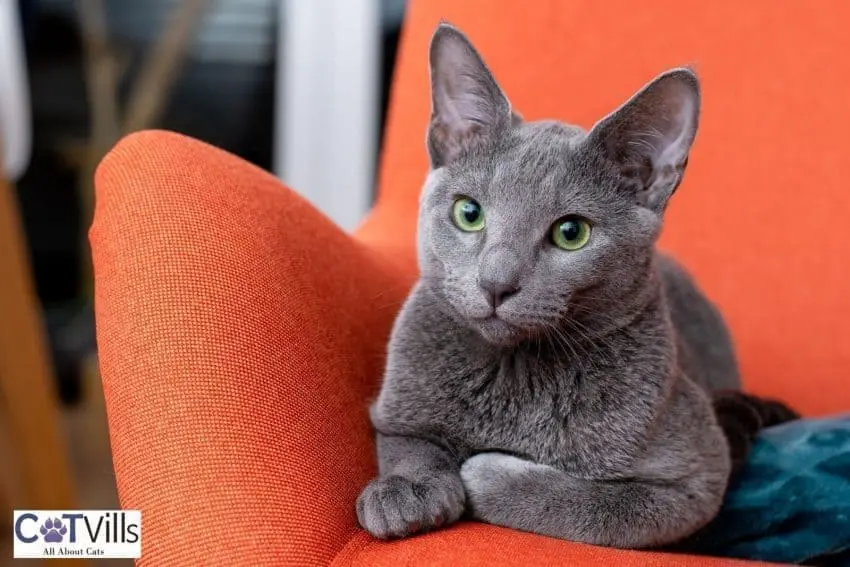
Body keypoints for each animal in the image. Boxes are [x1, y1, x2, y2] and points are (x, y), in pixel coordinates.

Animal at [354, 23, 744, 552]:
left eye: (571, 232)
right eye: (469, 212)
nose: (496, 283)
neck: (514, 375)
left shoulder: (698, 477)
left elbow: (600, 508)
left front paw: (486, 472)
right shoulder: (394, 408)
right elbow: (407, 441)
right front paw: (404, 492)